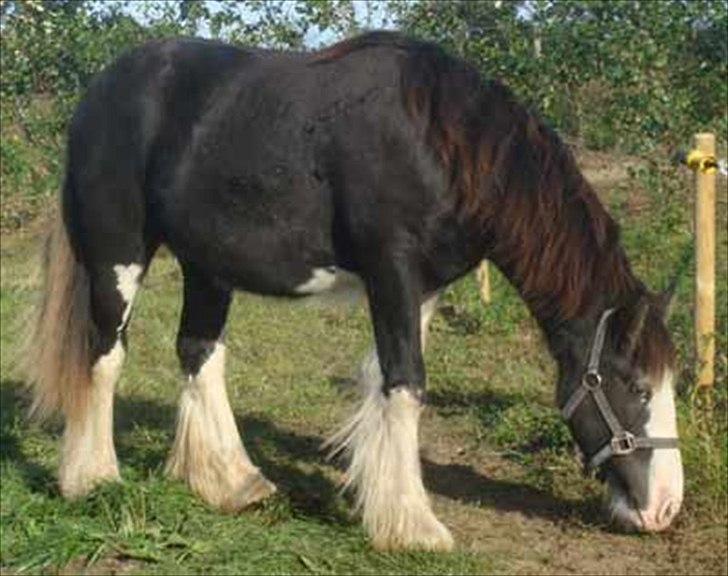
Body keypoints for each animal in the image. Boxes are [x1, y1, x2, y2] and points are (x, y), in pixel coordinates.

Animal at [22, 32, 684, 552]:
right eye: (634, 385)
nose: (666, 508)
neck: (446, 144)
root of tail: (101, 91)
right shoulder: (391, 268)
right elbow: (407, 385)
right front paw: (413, 526)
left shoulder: (422, 289)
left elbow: (387, 382)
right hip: (118, 253)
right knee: (105, 354)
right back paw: (92, 478)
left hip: (207, 264)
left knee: (198, 352)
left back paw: (231, 482)